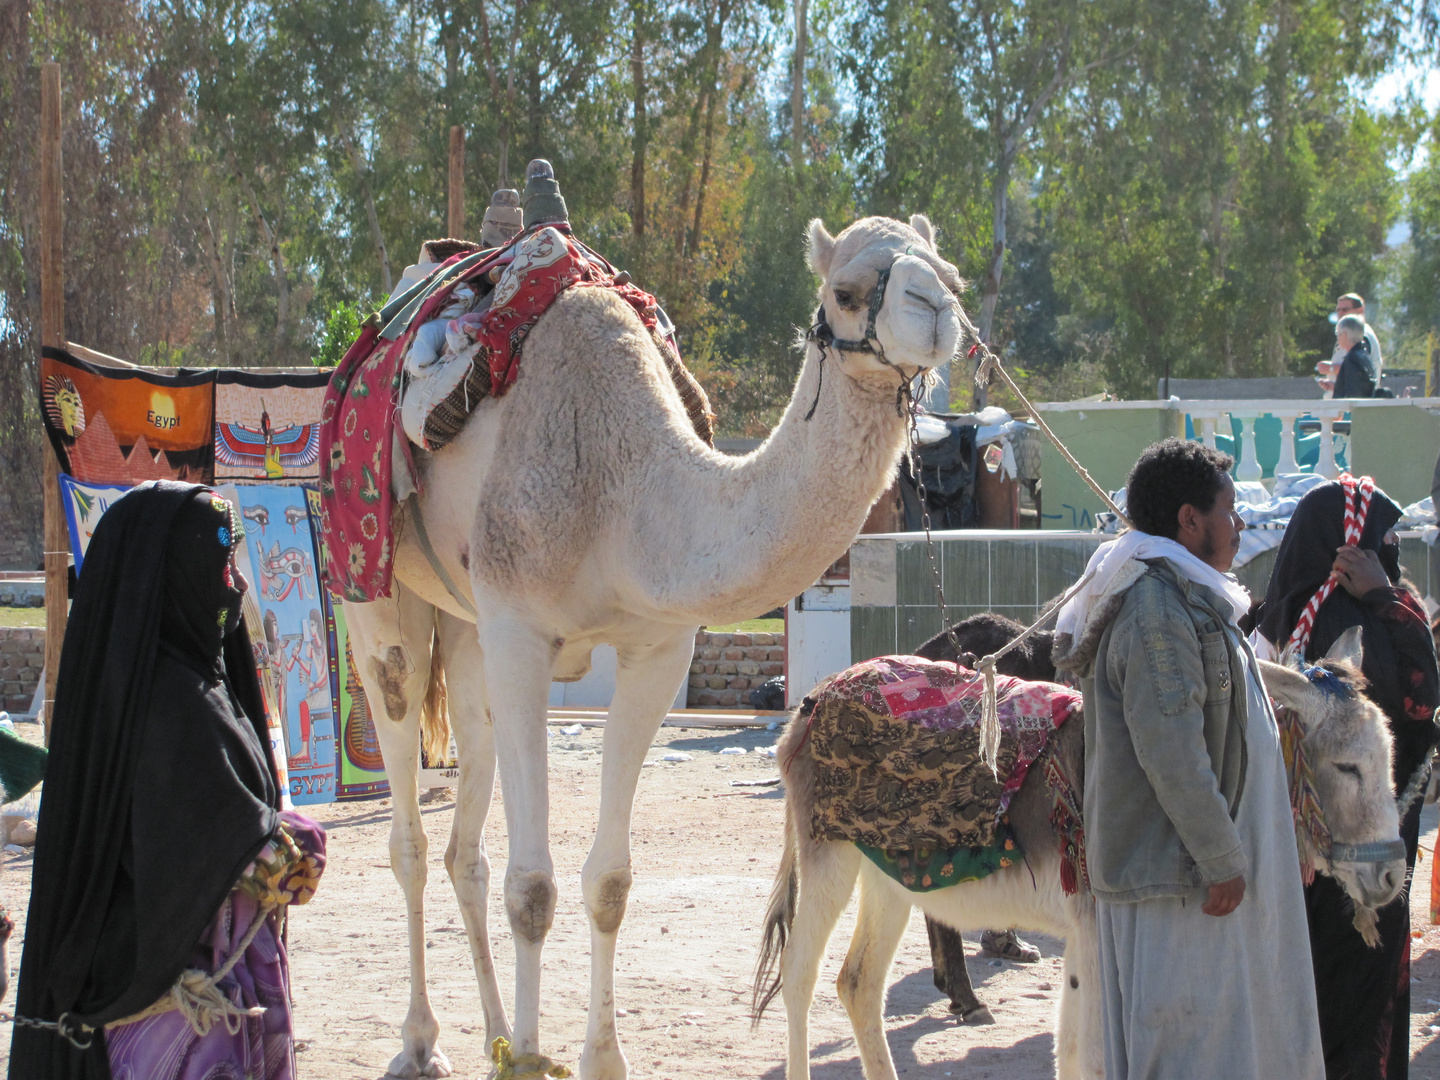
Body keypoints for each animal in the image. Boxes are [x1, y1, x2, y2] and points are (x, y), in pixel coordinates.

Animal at [339, 213, 967, 1080]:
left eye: (951, 273)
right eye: (844, 291)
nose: (937, 309)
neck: (623, 490)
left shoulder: (658, 651)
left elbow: (609, 882)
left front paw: (599, 1058)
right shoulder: (522, 631)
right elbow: (532, 889)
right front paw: (533, 1057)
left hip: (466, 624)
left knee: (466, 835)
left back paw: (493, 1032)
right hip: (379, 593)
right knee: (406, 818)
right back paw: (420, 1043)